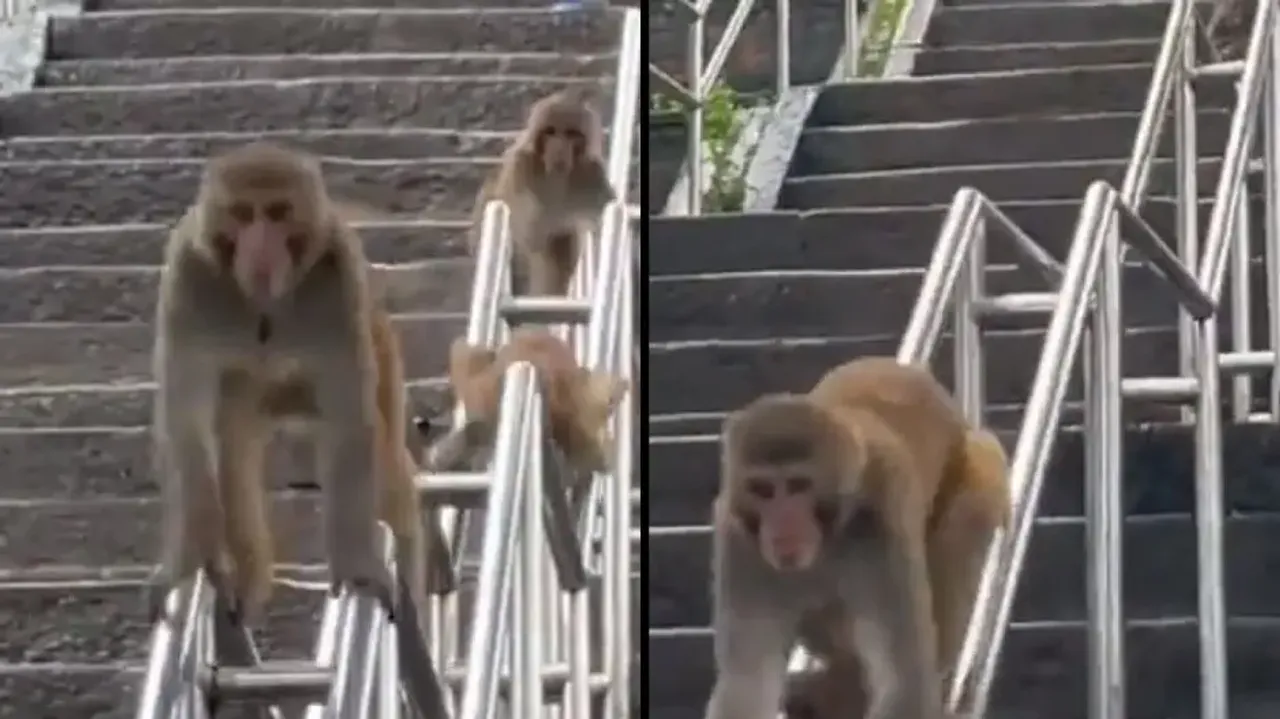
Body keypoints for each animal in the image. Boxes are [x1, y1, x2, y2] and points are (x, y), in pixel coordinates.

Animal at [147, 141, 445, 632]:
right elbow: (186, 423)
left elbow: (349, 424)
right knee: (234, 465)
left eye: (278, 213)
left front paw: (359, 567)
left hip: (379, 344)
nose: (261, 248)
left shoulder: (337, 279)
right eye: (243, 214)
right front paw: (188, 563)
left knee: (389, 473)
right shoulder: (188, 276)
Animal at [467, 90, 616, 297]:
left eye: (570, 133)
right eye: (551, 132)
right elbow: (530, 234)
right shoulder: (521, 166)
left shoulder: (593, 174)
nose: (558, 147)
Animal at [705, 356, 1010, 719]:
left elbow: (905, 684)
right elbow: (747, 688)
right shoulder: (738, 542)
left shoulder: (880, 520)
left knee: (976, 490)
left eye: (797, 485)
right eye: (762, 490)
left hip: (973, 466)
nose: (783, 523)